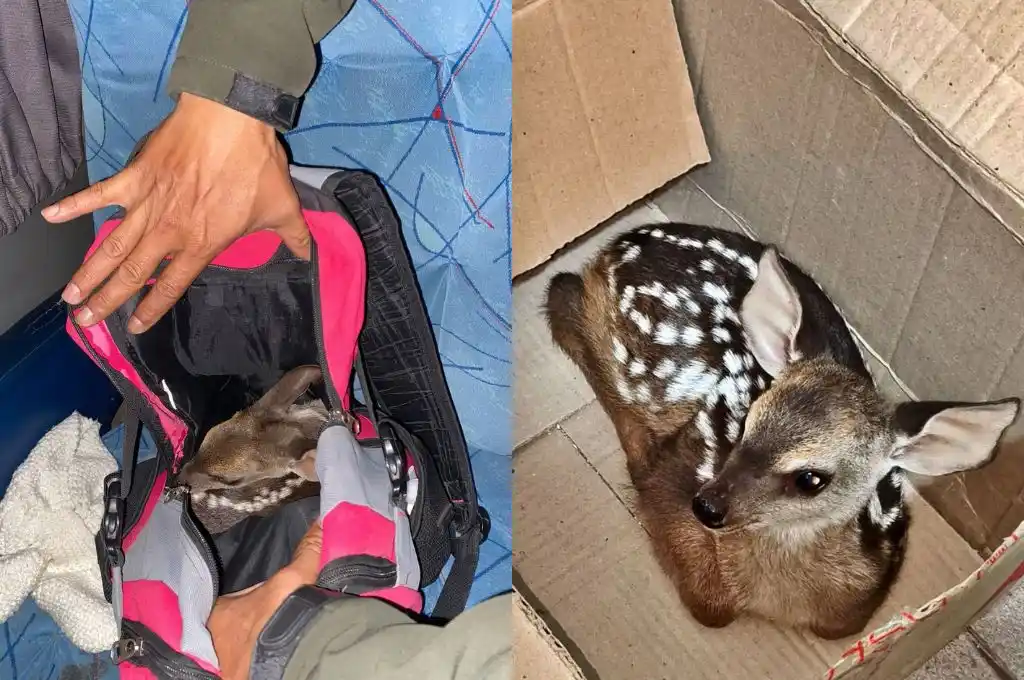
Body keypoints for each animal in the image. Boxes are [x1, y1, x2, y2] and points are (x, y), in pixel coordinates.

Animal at [544, 222, 1020, 639]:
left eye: (811, 478)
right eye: (747, 423)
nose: (707, 506)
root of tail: (623, 242)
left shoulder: (867, 584)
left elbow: (837, 625)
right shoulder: (677, 478)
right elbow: (710, 607)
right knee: (561, 295)